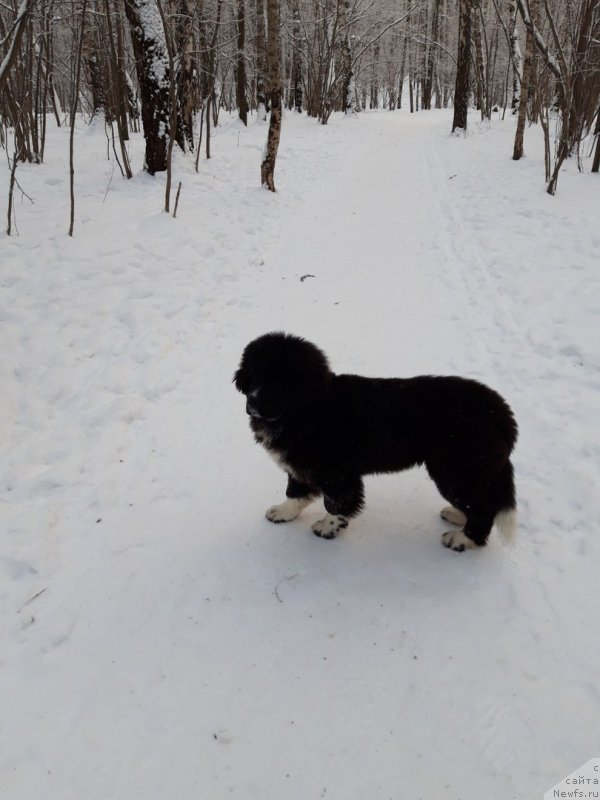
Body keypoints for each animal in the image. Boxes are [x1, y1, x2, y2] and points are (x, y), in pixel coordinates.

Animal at [233, 332, 516, 552]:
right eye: (255, 375)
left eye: (279, 381)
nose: (253, 401)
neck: (309, 410)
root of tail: (500, 412)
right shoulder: (301, 464)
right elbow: (296, 491)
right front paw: (284, 512)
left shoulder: (338, 473)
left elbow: (336, 501)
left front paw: (328, 527)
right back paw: (458, 515)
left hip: (456, 469)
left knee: (482, 508)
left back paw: (462, 540)